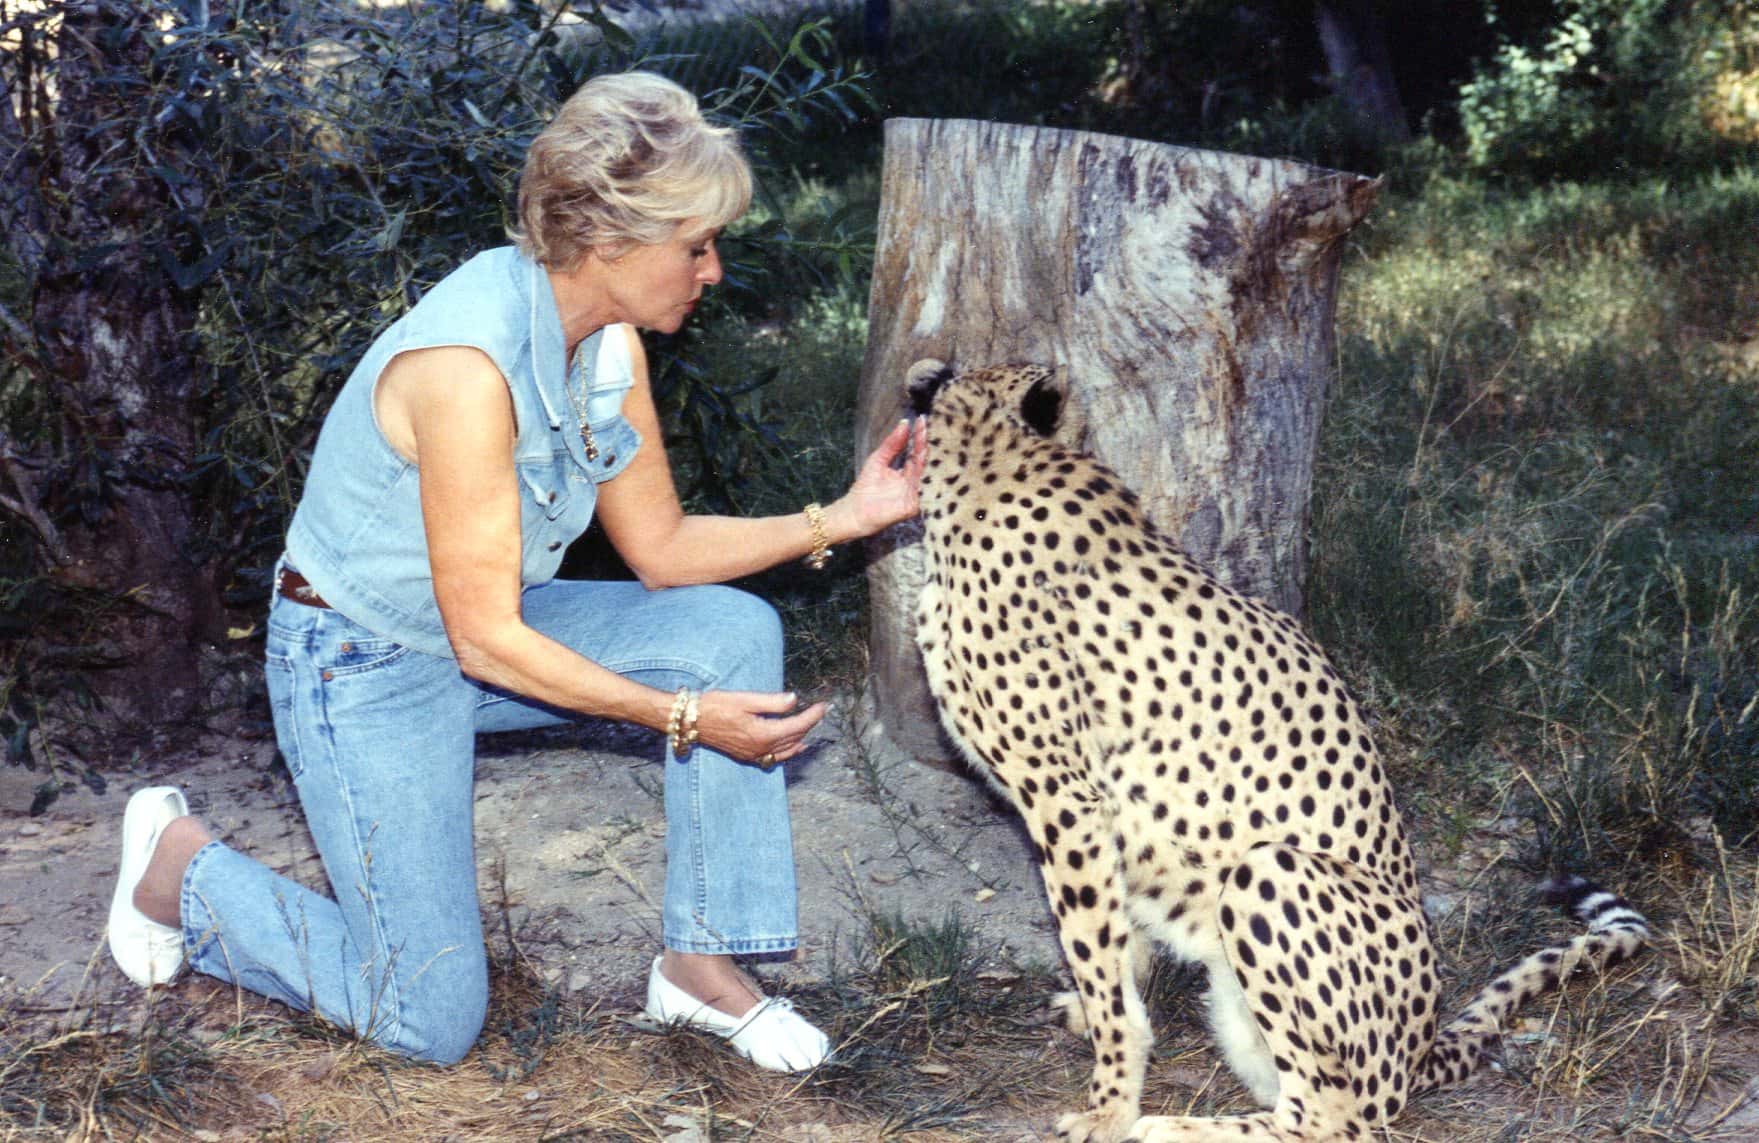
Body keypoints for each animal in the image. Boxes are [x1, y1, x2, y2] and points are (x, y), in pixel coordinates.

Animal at [903, 358, 1650, 1143]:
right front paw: (1103, 1016)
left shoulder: (1063, 798)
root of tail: (1418, 1050)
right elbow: (1116, 942)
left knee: (1333, 1118)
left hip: (1268, 873)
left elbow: (1094, 952)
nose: (923, 380)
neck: (996, 468)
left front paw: (1110, 1105)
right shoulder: (1099, 813)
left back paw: (1169, 1127)